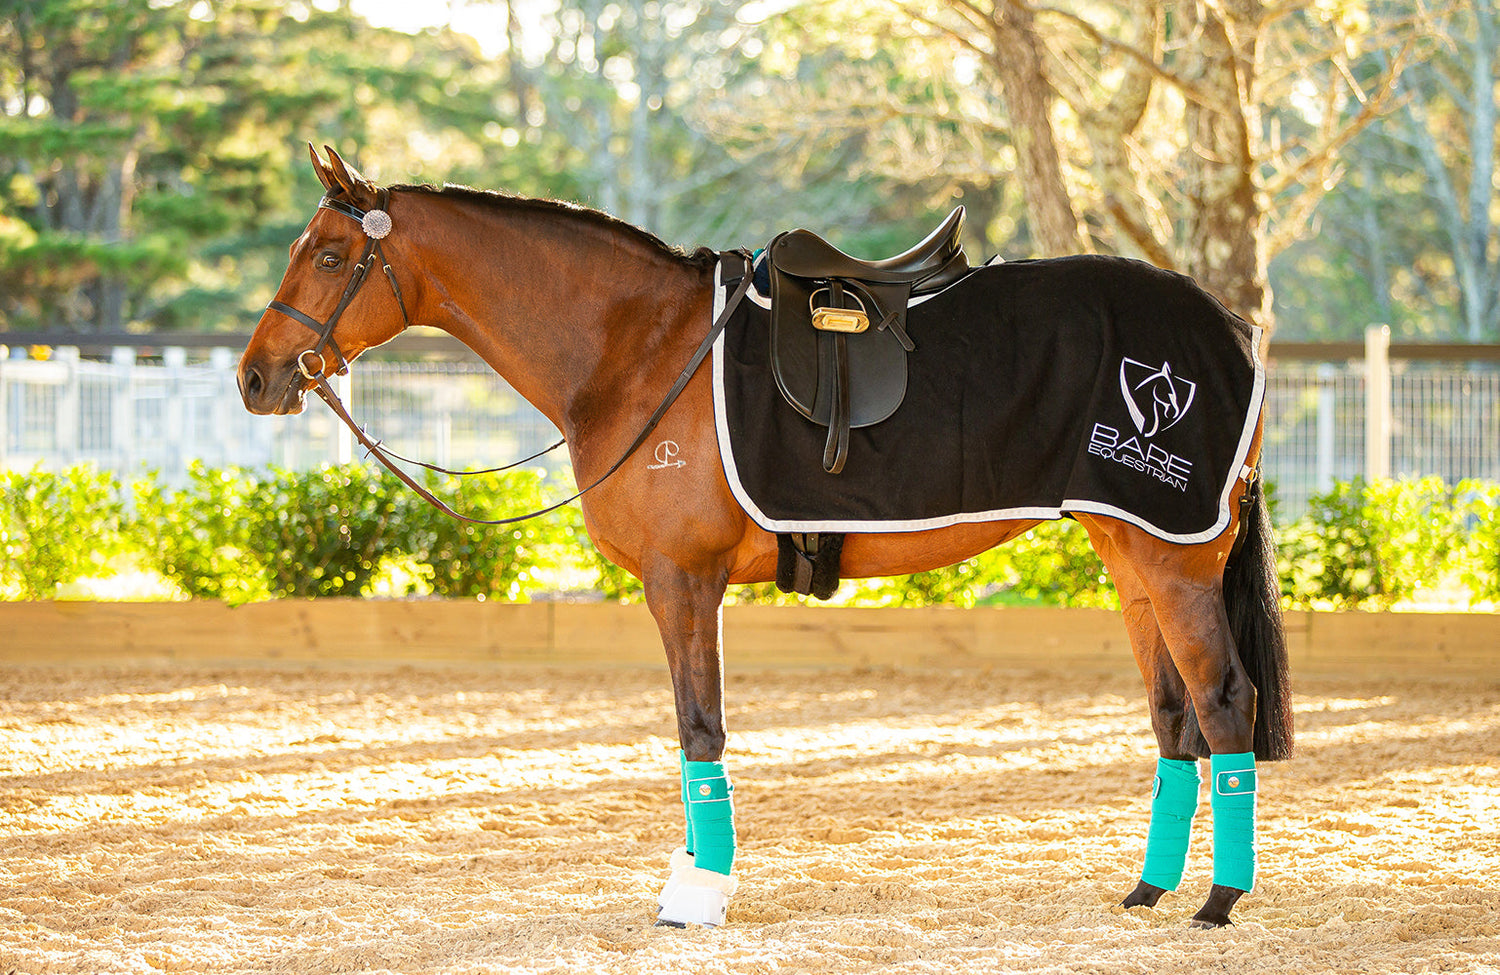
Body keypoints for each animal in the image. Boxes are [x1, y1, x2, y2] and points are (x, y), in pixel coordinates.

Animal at [238, 145, 1292, 930]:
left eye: (327, 256)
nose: (256, 378)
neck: (640, 345)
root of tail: (1228, 331)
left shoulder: (683, 582)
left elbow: (698, 730)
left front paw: (700, 893)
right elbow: (689, 731)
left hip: (1175, 561)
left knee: (1223, 702)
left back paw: (1217, 900)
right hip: (1131, 559)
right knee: (1173, 716)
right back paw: (1148, 888)